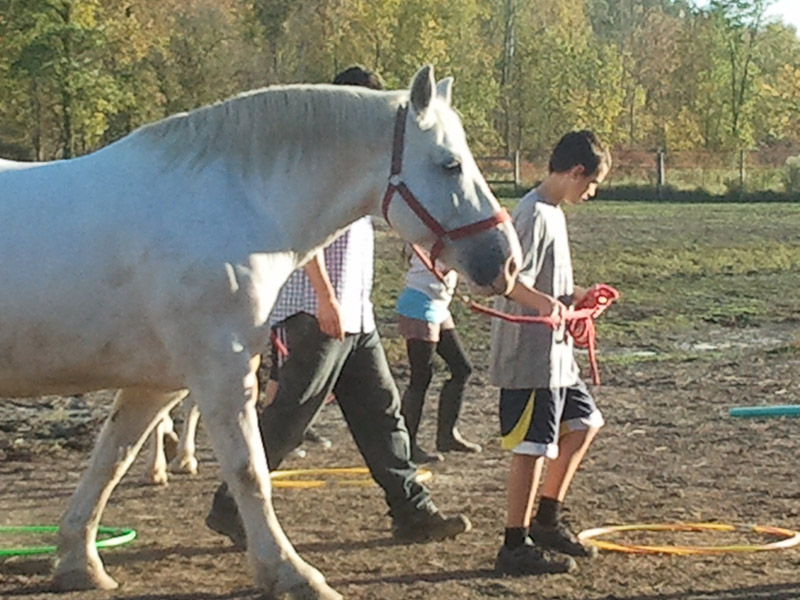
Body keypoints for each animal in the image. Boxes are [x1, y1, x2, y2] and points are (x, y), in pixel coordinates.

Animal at [0, 65, 521, 600]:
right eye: (450, 165)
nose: (505, 261)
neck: (231, 205)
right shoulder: (221, 373)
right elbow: (251, 470)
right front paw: (292, 573)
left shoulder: (157, 384)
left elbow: (111, 462)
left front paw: (79, 560)